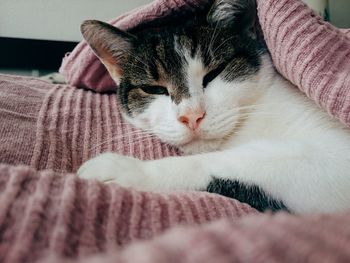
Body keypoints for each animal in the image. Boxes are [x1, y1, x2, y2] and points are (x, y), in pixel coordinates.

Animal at [78, 0, 350, 214]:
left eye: (215, 72)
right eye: (154, 89)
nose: (192, 116)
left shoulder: (335, 159)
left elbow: (237, 161)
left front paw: (132, 170)